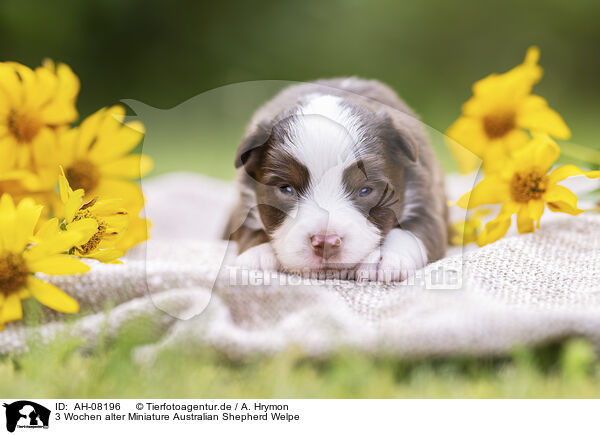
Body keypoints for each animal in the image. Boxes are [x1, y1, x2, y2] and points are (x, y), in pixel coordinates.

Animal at [224, 78, 446, 282]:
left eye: (365, 190)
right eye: (286, 189)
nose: (325, 243)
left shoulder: (426, 196)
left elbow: (415, 230)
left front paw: (386, 257)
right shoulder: (243, 200)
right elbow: (247, 229)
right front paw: (258, 254)